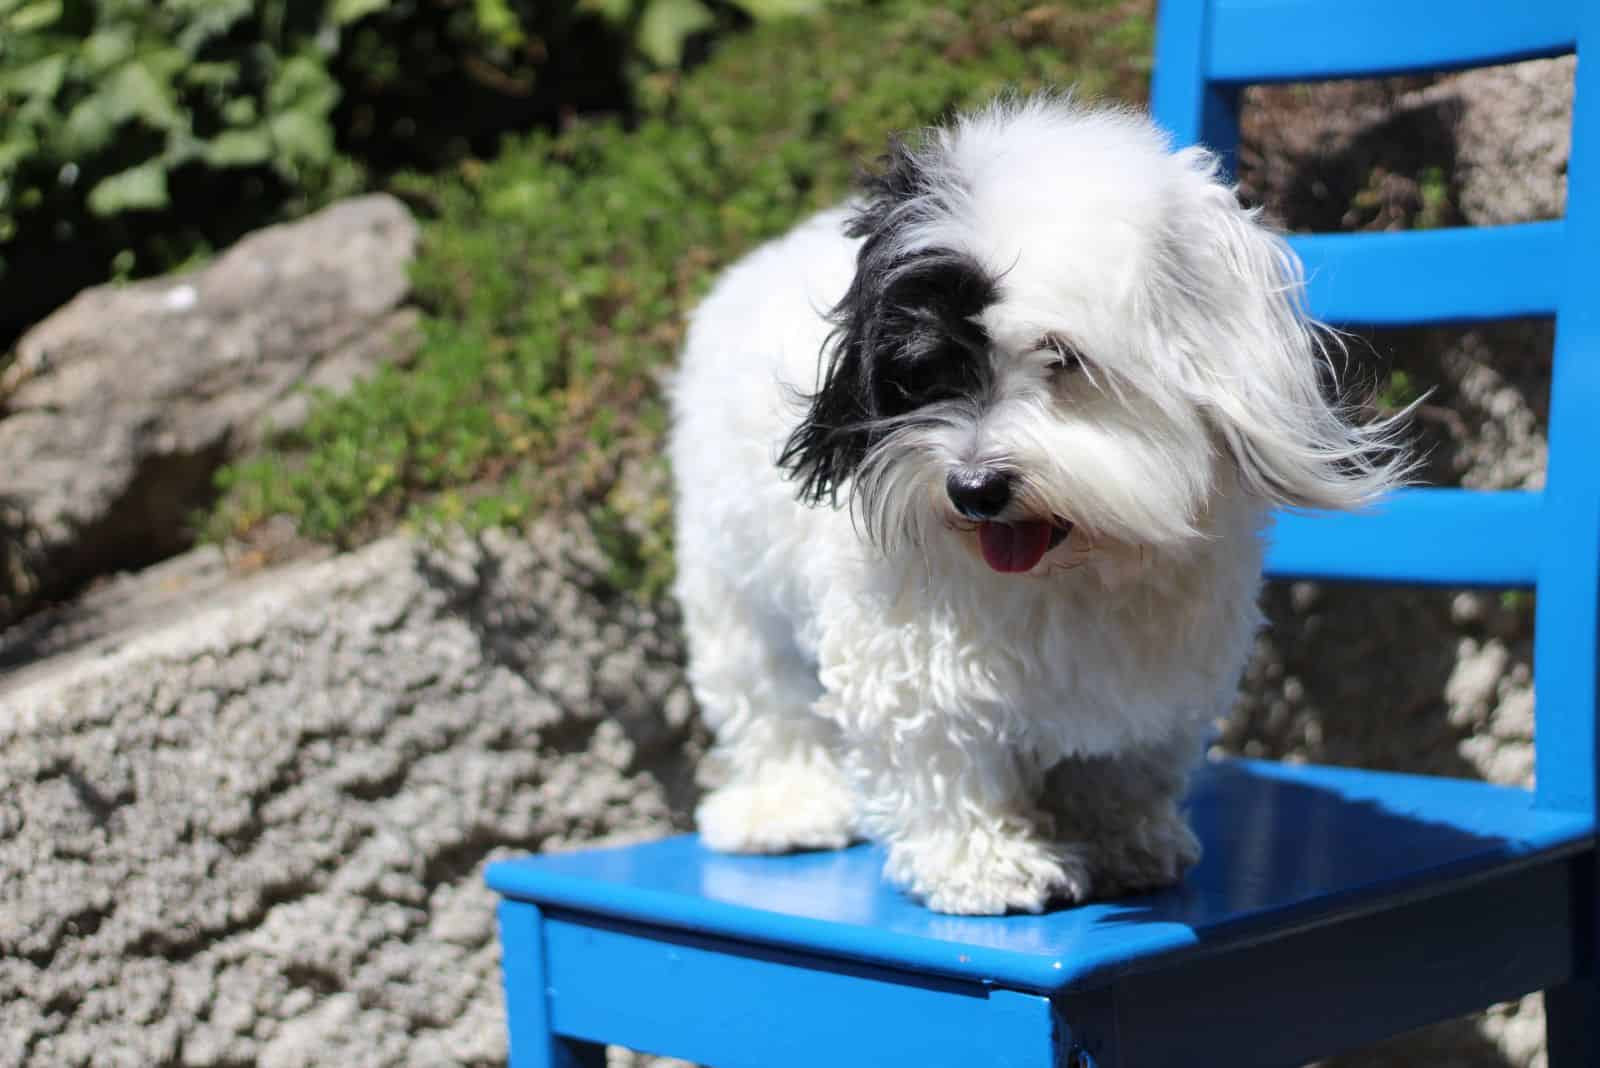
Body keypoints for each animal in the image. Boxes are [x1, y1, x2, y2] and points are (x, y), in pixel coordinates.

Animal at [662, 93, 1401, 920]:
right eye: (925, 371)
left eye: (1063, 357)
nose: (973, 488)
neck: (1070, 567)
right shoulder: (914, 657)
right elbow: (942, 753)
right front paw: (988, 865)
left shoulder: (1155, 678)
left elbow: (1121, 765)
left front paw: (1122, 842)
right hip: (734, 581)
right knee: (768, 695)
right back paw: (789, 806)